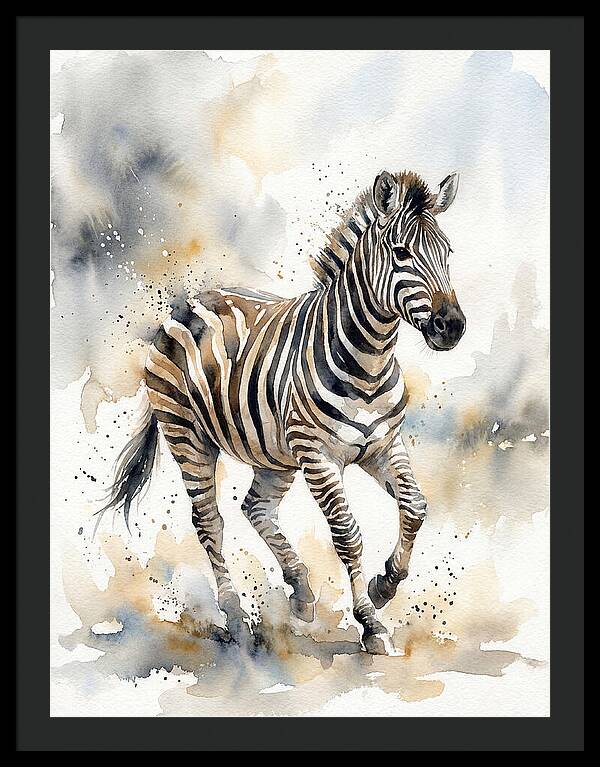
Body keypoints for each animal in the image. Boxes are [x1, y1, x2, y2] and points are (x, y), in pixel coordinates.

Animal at [100, 169, 466, 655]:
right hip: (189, 437)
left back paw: (301, 592)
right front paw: (370, 622)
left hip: (274, 454)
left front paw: (385, 584)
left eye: (448, 253)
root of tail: (190, 302)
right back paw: (235, 617)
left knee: (255, 507)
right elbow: (348, 534)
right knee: (209, 521)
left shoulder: (383, 445)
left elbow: (415, 506)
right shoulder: (318, 455)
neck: (369, 361)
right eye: (401, 253)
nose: (453, 327)